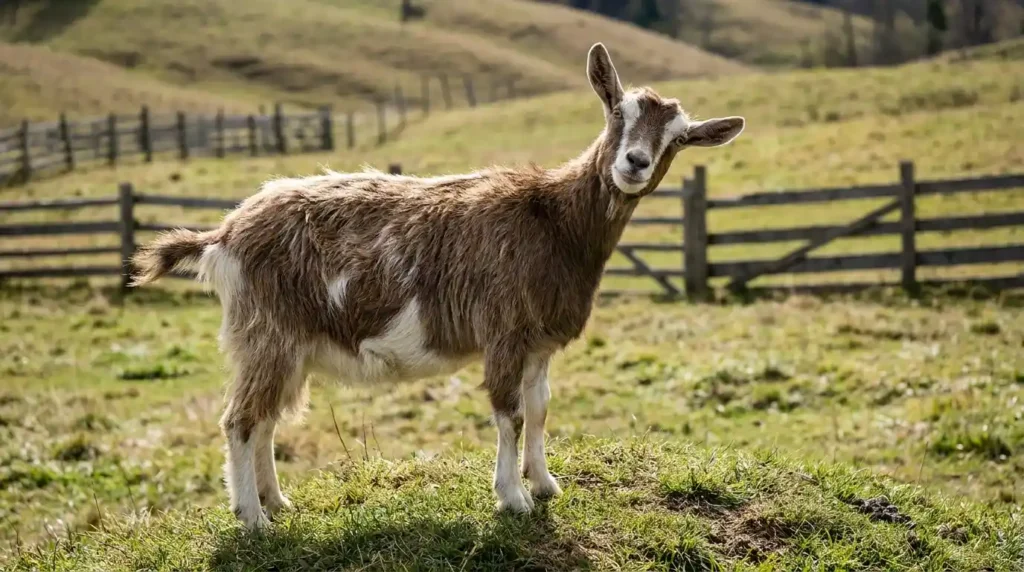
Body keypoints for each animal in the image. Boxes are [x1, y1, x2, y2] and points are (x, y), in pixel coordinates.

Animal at [130, 43, 745, 530]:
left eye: (679, 139)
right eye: (617, 110)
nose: (635, 163)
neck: (555, 220)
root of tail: (224, 233)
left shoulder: (539, 341)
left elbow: (540, 407)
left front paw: (544, 484)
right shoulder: (503, 330)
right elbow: (509, 412)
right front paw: (513, 499)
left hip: (290, 344)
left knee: (266, 420)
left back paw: (277, 503)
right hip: (266, 331)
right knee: (241, 419)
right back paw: (253, 519)